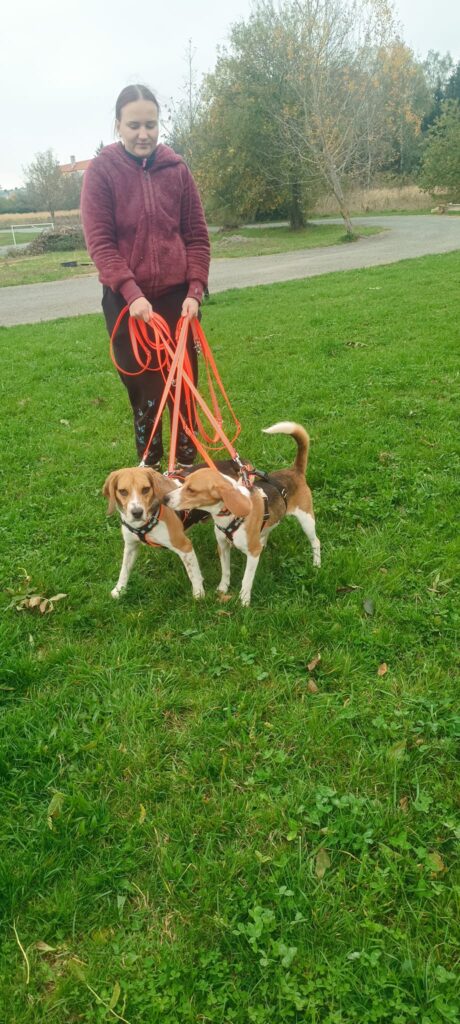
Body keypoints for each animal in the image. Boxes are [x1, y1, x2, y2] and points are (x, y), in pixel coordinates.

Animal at [163, 419, 319, 602]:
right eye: (184, 482)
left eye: (192, 490)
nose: (165, 498)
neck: (229, 516)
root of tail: (295, 470)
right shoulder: (222, 546)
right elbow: (225, 571)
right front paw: (222, 589)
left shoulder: (252, 554)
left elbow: (247, 579)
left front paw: (244, 600)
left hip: (306, 520)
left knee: (316, 542)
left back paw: (317, 564)